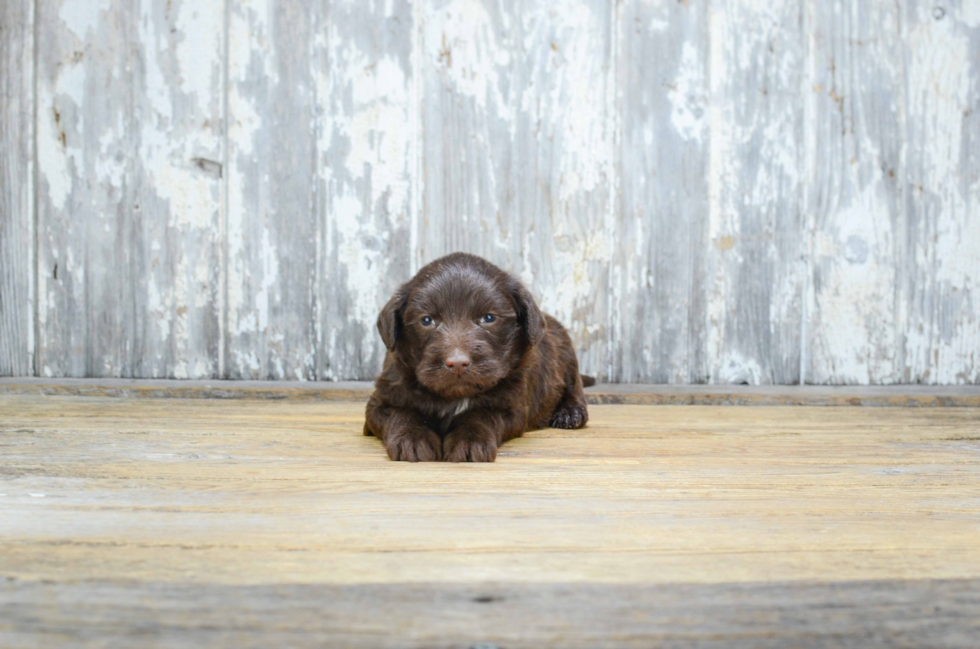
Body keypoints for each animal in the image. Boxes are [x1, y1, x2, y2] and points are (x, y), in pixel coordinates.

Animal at [364, 252, 592, 460]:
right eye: (426, 320)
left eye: (488, 318)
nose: (457, 363)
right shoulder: (380, 402)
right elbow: (402, 413)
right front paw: (413, 438)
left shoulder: (511, 407)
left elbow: (480, 415)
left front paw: (469, 442)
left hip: (567, 357)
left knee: (574, 387)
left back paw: (571, 413)